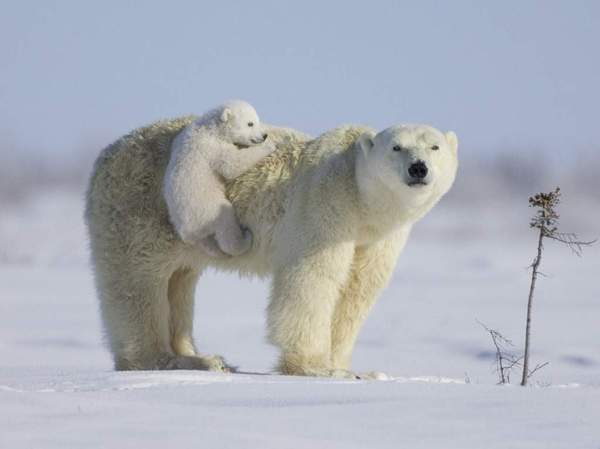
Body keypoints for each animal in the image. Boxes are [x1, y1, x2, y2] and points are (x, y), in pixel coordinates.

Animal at [85, 117, 460, 376]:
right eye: (396, 146)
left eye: (435, 147)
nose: (418, 168)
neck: (361, 200)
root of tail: (104, 155)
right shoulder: (325, 205)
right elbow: (313, 280)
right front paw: (315, 367)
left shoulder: (378, 237)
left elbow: (357, 290)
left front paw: (348, 367)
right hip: (139, 209)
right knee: (138, 283)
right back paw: (162, 359)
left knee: (180, 280)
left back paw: (201, 357)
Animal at [166, 100, 272, 256]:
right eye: (250, 123)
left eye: (257, 120)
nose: (264, 136)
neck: (212, 128)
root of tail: (187, 231)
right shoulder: (213, 147)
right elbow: (231, 164)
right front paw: (270, 146)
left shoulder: (182, 135)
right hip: (208, 209)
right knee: (226, 224)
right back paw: (244, 239)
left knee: (208, 243)